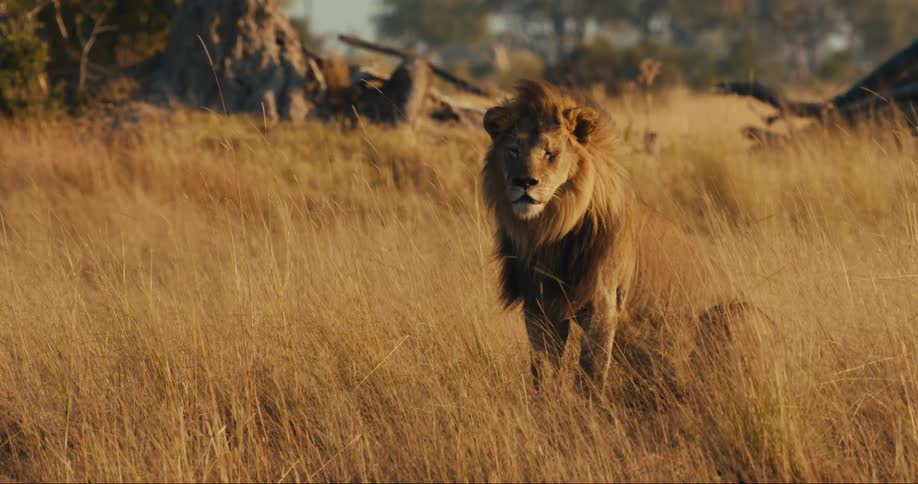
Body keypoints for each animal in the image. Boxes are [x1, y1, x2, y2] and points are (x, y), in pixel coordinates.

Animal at [481, 80, 764, 395]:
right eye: (513, 150)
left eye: (550, 153)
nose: (524, 182)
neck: (548, 231)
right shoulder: (538, 304)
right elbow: (542, 373)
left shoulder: (604, 302)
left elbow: (590, 374)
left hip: (739, 313)